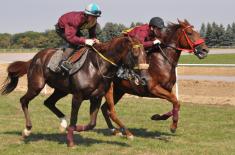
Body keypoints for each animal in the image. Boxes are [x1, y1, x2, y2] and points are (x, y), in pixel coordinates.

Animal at [0, 36, 149, 147]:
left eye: (145, 54)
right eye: (135, 54)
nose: (144, 78)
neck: (98, 67)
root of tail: (34, 58)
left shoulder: (96, 97)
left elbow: (92, 124)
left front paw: (70, 130)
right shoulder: (77, 97)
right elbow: (74, 119)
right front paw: (70, 140)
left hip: (61, 90)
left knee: (48, 102)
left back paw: (62, 123)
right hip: (36, 86)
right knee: (23, 100)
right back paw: (27, 130)